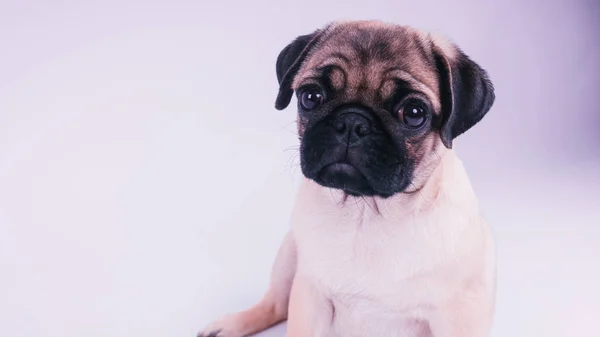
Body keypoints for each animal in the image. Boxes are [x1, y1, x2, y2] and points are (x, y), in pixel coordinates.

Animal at [197, 19, 496, 336]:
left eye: (414, 113)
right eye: (310, 97)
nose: (353, 122)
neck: (367, 214)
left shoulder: (459, 314)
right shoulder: (310, 294)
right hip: (290, 253)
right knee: (276, 304)